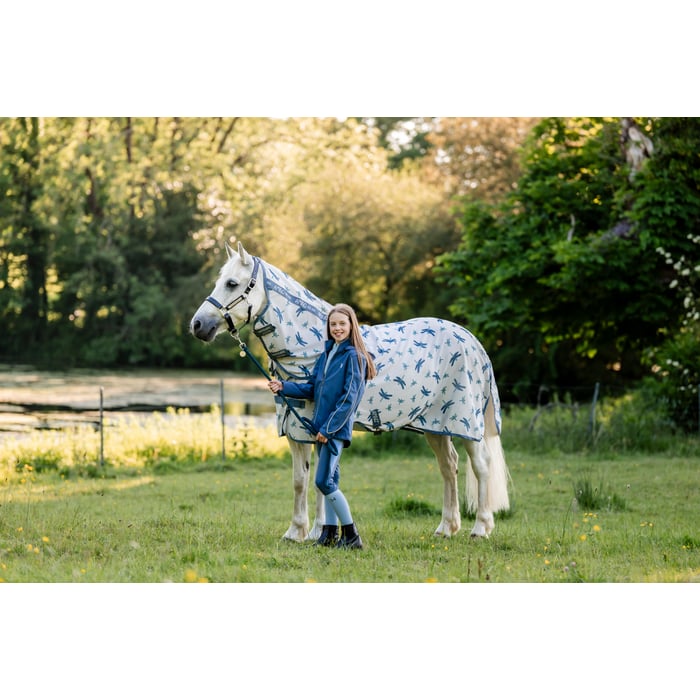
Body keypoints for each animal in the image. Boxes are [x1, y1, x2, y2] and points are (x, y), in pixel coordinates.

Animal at [190, 241, 510, 541]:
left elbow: (317, 483)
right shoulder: (296, 429)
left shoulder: (316, 427)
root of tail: (470, 339)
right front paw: (297, 532)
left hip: (465, 423)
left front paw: (317, 531)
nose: (197, 325)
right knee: (448, 466)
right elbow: (300, 480)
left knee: (480, 466)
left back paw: (480, 527)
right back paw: (446, 527)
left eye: (232, 283)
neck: (314, 346)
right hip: (436, 426)